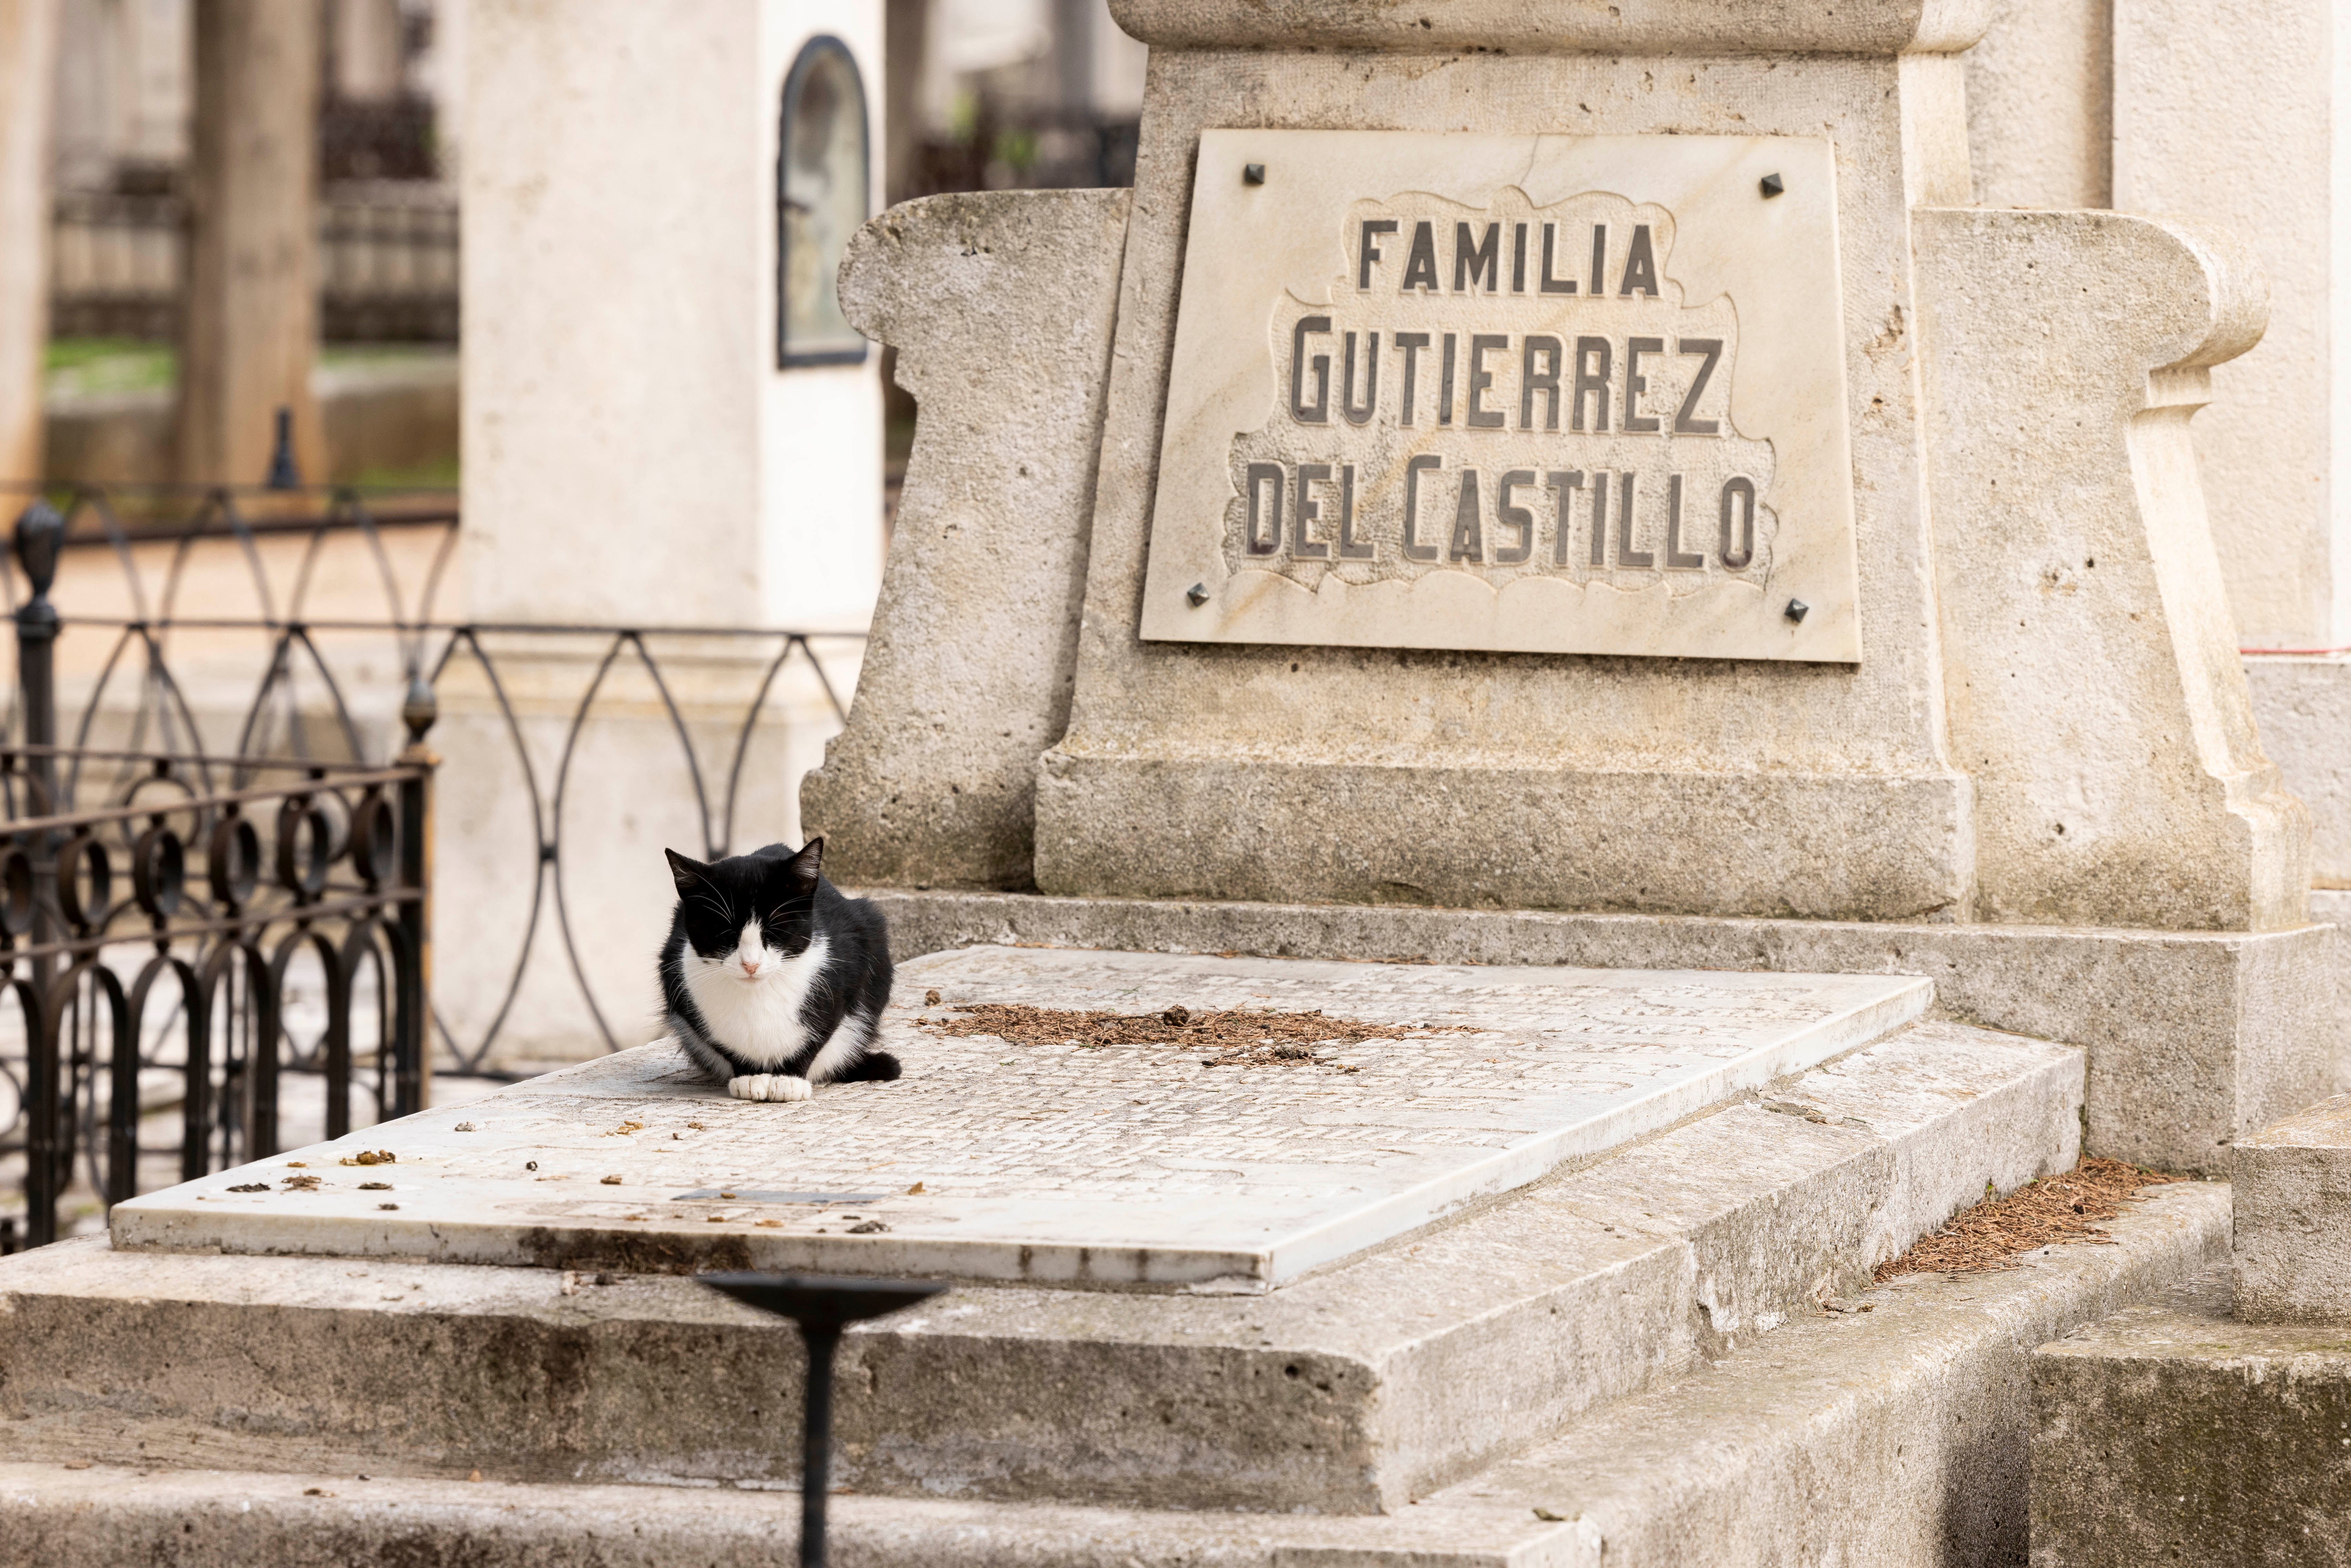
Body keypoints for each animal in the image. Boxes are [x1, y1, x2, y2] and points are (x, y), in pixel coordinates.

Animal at [653, 846, 898, 1105]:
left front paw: (790, 1079)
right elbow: (721, 1043)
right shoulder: (676, 976)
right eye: (725, 933)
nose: (751, 964)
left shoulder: (848, 968)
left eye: (774, 930)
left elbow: (823, 1030)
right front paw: (750, 1076)